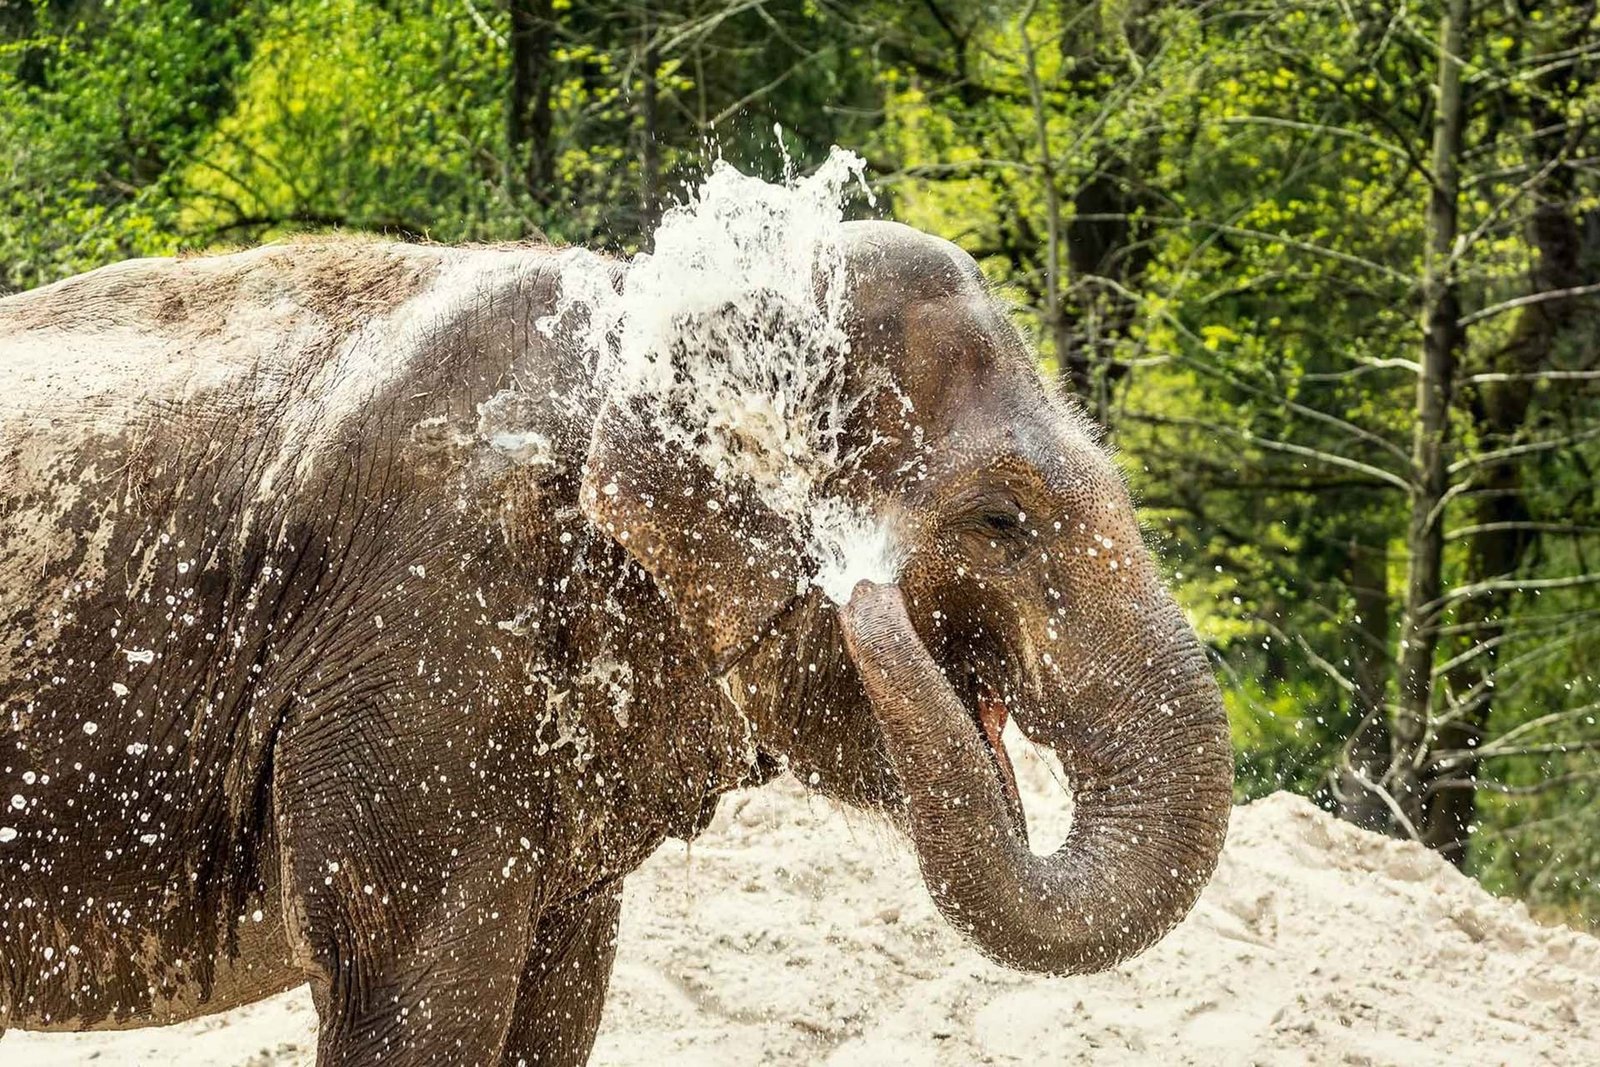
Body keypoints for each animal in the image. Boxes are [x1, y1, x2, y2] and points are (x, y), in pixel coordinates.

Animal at [0, 220, 1235, 1062]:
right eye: (999, 520)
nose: (864, 592)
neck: (636, 311)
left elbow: (558, 1000)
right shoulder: (418, 650)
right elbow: (411, 991)